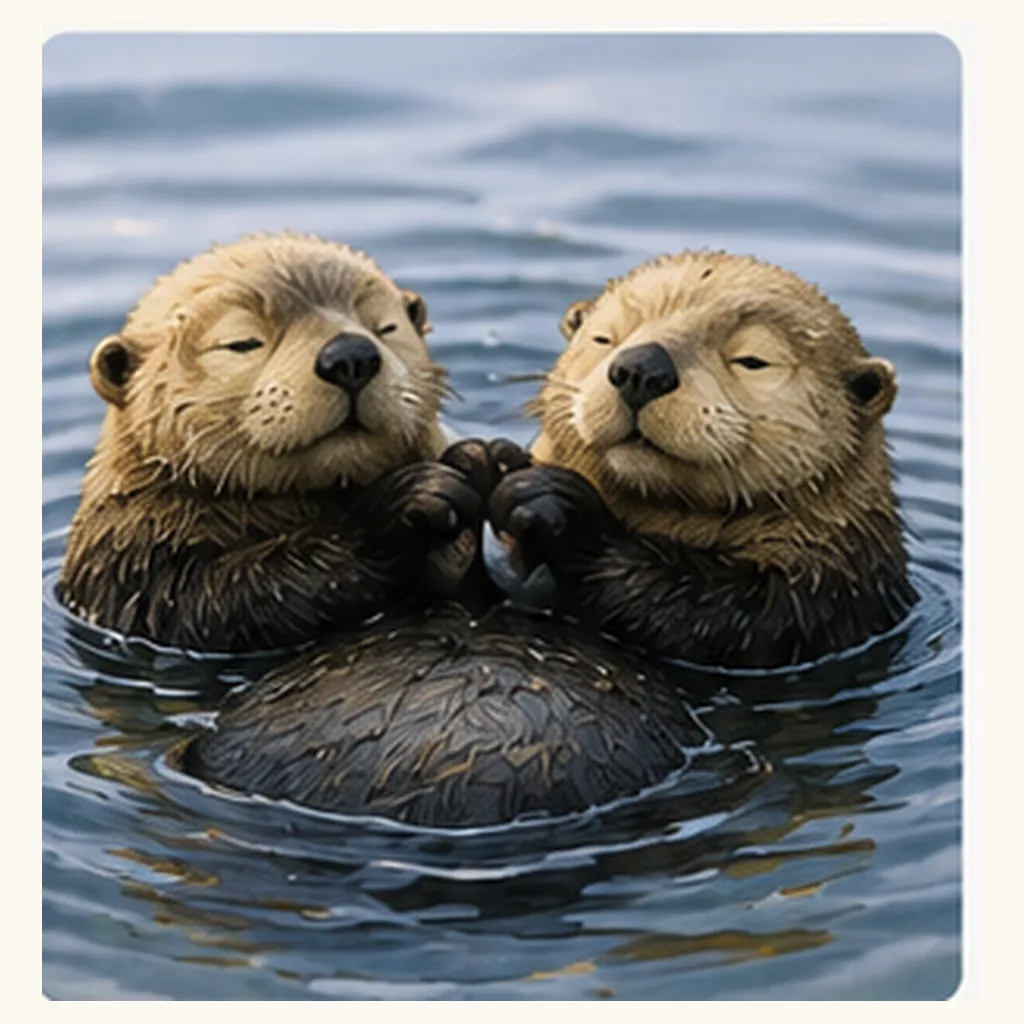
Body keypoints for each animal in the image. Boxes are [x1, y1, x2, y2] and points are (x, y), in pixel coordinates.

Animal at [58, 233, 485, 652]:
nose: (350, 355)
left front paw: (477, 463)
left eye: (385, 328)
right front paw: (406, 502)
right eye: (242, 342)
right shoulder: (127, 560)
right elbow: (208, 603)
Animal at [489, 251, 918, 669]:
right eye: (604, 338)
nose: (641, 368)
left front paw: (559, 508)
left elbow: (717, 617)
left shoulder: (819, 600)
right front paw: (487, 462)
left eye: (752, 360)